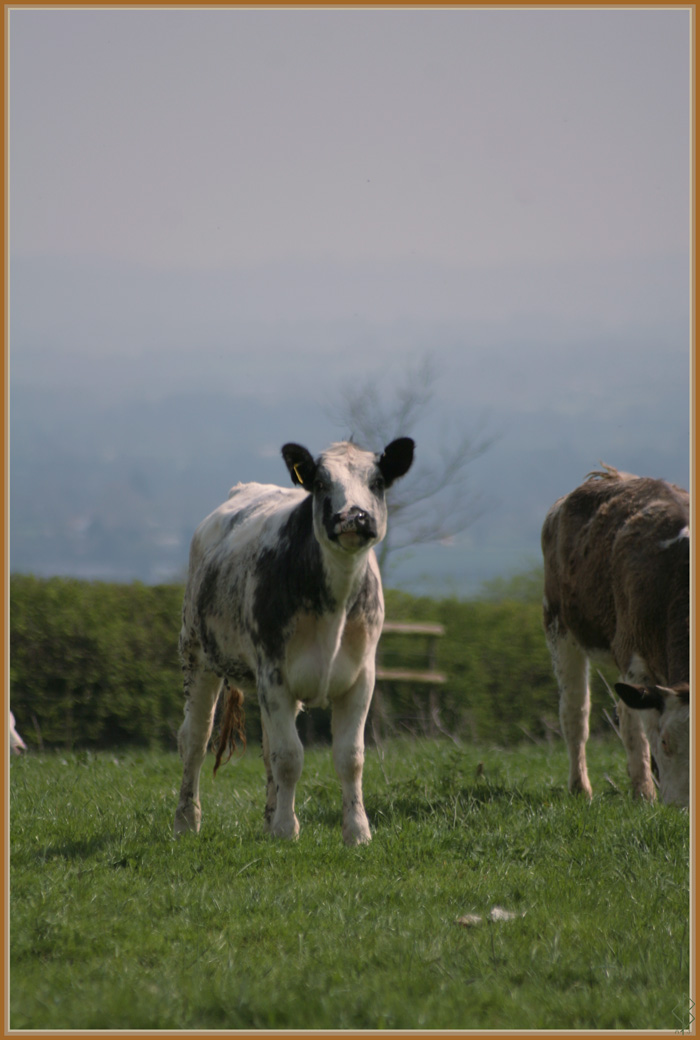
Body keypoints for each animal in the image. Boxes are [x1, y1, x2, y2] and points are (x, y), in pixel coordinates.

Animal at [173, 438, 411, 844]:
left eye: (378, 481)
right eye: (321, 482)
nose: (354, 516)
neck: (334, 606)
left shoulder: (361, 677)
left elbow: (350, 757)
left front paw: (357, 831)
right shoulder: (274, 673)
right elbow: (289, 757)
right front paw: (287, 831)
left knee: (267, 744)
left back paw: (268, 818)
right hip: (197, 652)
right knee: (195, 738)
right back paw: (187, 821)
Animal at [540, 467, 686, 807]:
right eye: (666, 742)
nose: (684, 806)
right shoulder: (635, 656)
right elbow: (643, 733)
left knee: (625, 713)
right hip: (558, 625)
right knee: (576, 713)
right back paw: (582, 788)